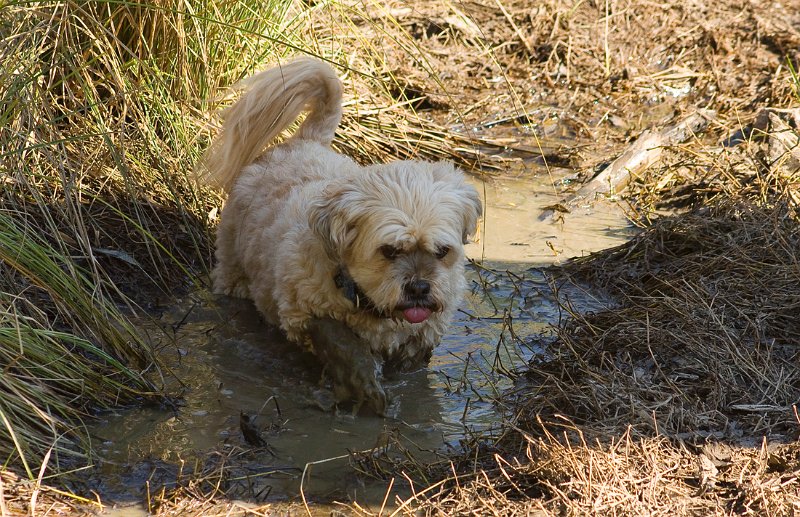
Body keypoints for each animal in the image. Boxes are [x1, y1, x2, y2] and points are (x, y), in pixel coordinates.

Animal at [202, 57, 482, 412]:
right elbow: (342, 343)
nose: (419, 287)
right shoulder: (304, 311)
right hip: (233, 266)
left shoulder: (421, 338)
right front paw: (365, 387)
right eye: (389, 251)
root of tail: (305, 141)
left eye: (442, 251)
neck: (368, 304)